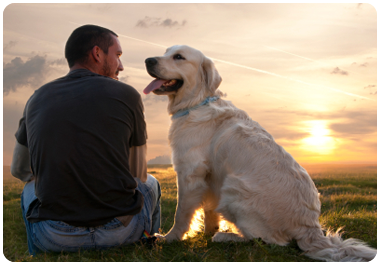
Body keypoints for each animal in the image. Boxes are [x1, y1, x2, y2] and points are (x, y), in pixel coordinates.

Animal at [143, 44, 378, 260]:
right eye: (166, 52)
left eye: (179, 57)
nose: (148, 60)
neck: (197, 102)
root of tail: (310, 228)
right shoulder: (210, 177)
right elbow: (209, 211)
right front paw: (207, 231)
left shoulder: (189, 172)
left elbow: (181, 213)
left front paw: (170, 238)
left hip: (233, 187)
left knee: (267, 240)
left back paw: (227, 237)